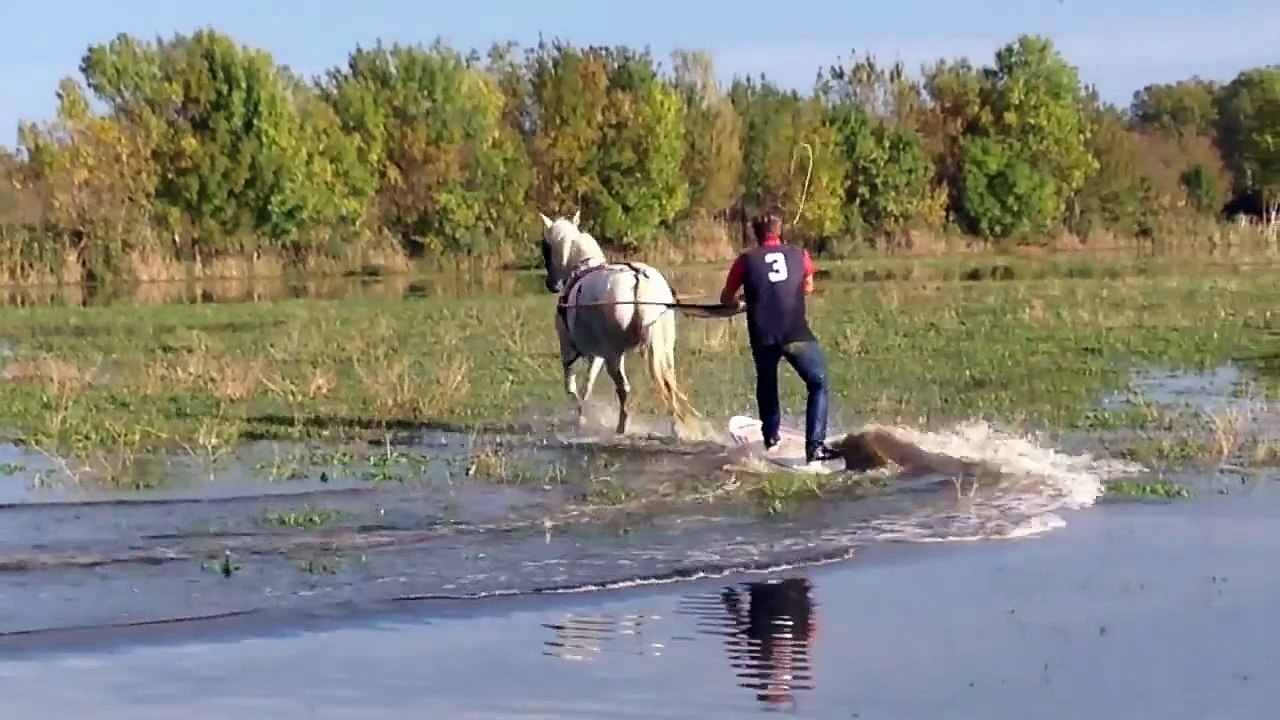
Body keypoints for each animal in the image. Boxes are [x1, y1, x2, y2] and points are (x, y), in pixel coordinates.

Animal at [539, 210, 699, 435]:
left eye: (545, 246)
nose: (551, 284)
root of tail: (639, 280)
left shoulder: (569, 352)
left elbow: (572, 389)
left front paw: (580, 417)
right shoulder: (596, 356)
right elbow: (586, 387)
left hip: (614, 356)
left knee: (624, 388)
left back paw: (622, 426)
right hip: (664, 350)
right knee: (669, 384)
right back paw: (674, 427)